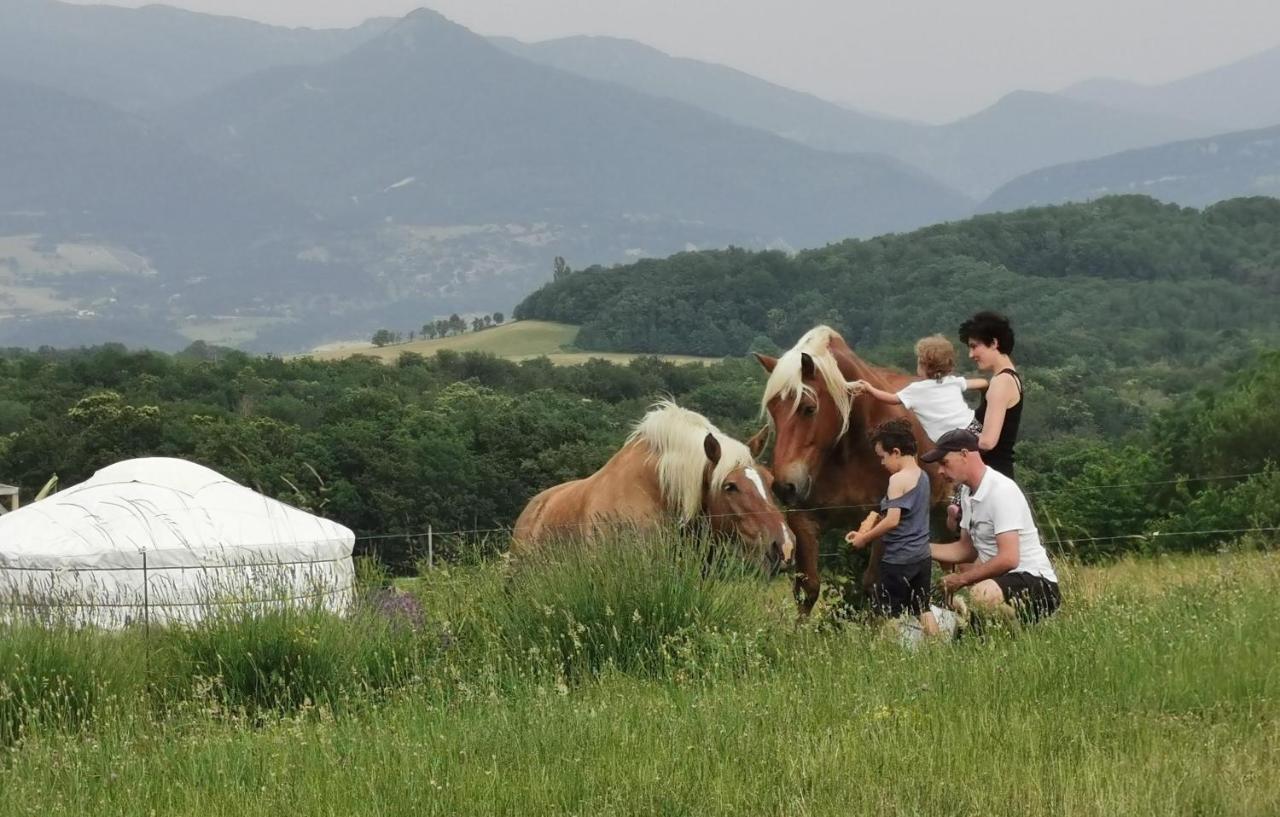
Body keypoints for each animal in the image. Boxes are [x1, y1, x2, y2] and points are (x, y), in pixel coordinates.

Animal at [747, 325, 952, 614]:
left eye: (809, 408)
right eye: (773, 410)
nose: (785, 487)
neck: (849, 450)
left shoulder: (885, 521)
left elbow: (875, 589)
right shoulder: (804, 519)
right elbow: (808, 588)